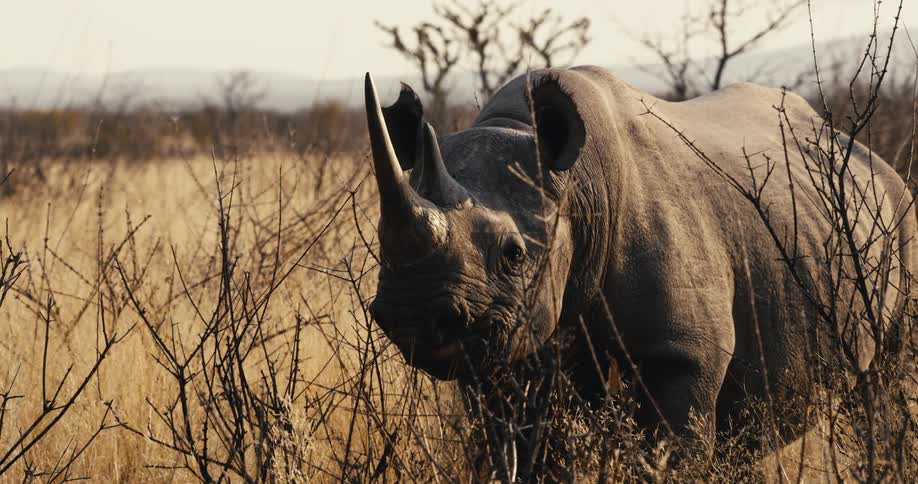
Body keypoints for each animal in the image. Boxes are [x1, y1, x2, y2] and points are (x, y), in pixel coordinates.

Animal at [364, 66, 915, 456]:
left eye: (514, 255)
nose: (413, 315)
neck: (574, 186)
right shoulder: (501, 357)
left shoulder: (683, 351)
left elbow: (672, 450)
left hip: (902, 216)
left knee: (885, 381)